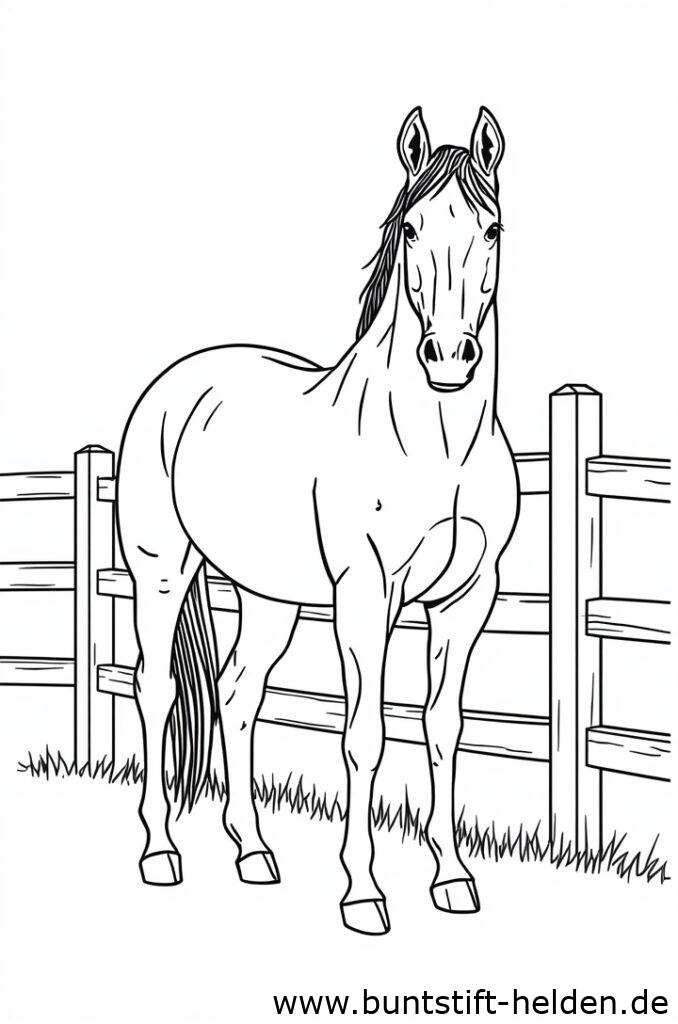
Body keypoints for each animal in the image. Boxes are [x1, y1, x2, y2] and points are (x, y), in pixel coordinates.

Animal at [116, 105, 519, 935]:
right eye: (410, 226)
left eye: (493, 228)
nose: (450, 358)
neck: (437, 443)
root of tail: (177, 382)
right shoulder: (366, 596)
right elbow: (364, 735)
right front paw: (363, 892)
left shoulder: (467, 603)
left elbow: (443, 730)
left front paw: (453, 879)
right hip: (159, 571)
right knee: (157, 689)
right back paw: (160, 852)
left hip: (269, 598)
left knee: (238, 696)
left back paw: (252, 852)